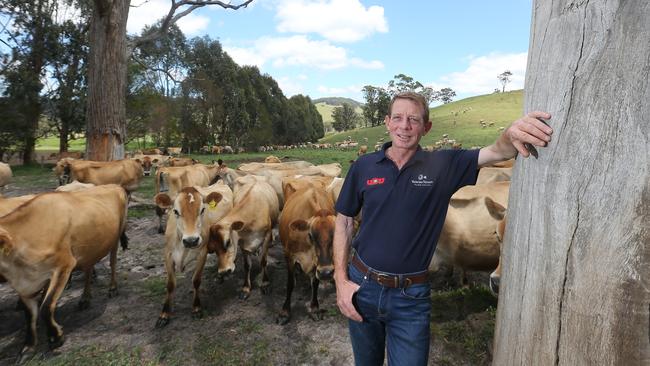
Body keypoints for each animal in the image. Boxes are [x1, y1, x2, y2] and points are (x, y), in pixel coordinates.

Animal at [0, 186, 128, 358]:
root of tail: (114, 186)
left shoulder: (63, 266)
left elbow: (46, 306)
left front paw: (56, 338)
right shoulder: (25, 285)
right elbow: (30, 314)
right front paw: (29, 345)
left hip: (115, 236)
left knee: (113, 262)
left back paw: (112, 288)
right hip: (89, 248)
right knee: (88, 269)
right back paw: (85, 298)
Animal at [152, 184, 233, 328]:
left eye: (202, 210)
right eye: (175, 211)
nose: (191, 240)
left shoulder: (202, 254)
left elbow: (196, 281)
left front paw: (196, 308)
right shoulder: (168, 254)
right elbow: (170, 284)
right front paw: (164, 314)